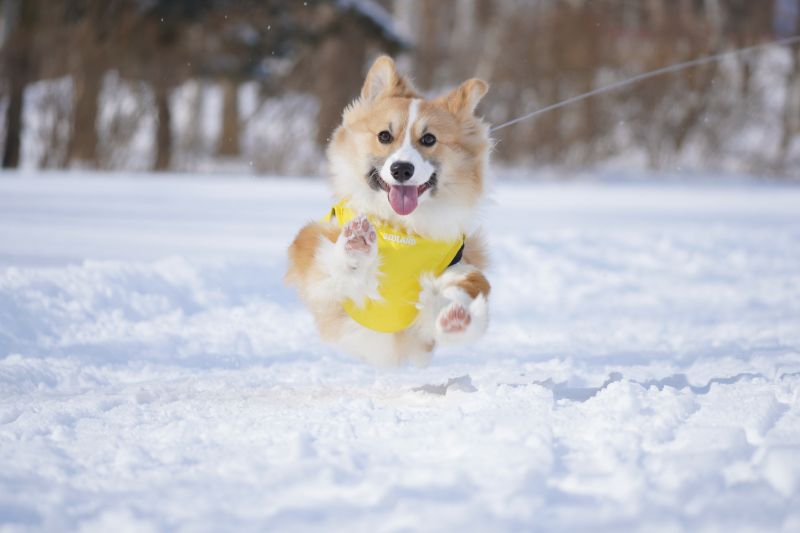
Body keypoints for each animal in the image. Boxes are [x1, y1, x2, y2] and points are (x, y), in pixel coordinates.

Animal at [284, 57, 490, 366]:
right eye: (384, 135)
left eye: (429, 139)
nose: (401, 169)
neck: (400, 226)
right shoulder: (318, 262)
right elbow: (331, 266)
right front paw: (356, 244)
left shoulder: (460, 263)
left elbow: (467, 284)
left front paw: (455, 314)